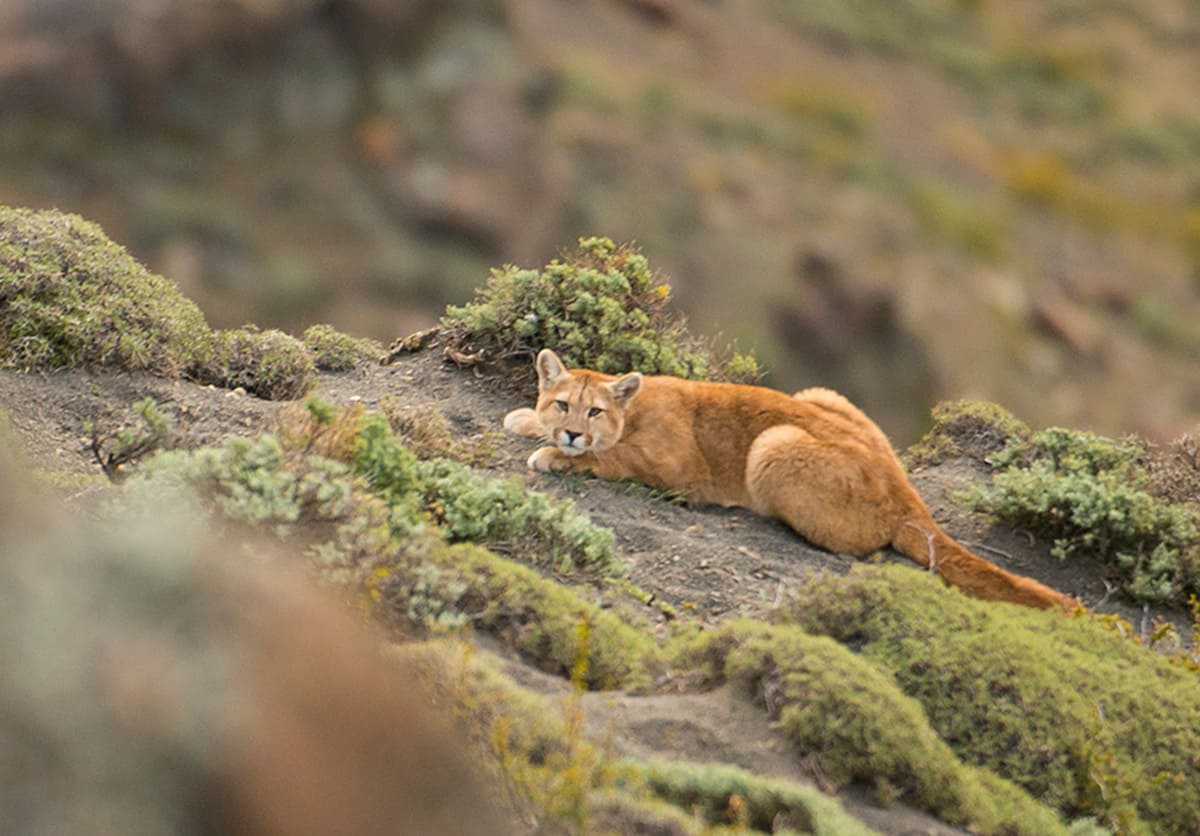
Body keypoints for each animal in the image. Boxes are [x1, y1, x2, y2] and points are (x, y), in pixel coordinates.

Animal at [506, 347, 1080, 614]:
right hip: (819, 392)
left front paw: (555, 455)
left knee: (859, 545)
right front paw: (528, 421)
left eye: (595, 412)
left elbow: (610, 459)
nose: (573, 431)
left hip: (773, 445)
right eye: (562, 404)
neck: (636, 408)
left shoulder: (674, 467)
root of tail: (907, 494)